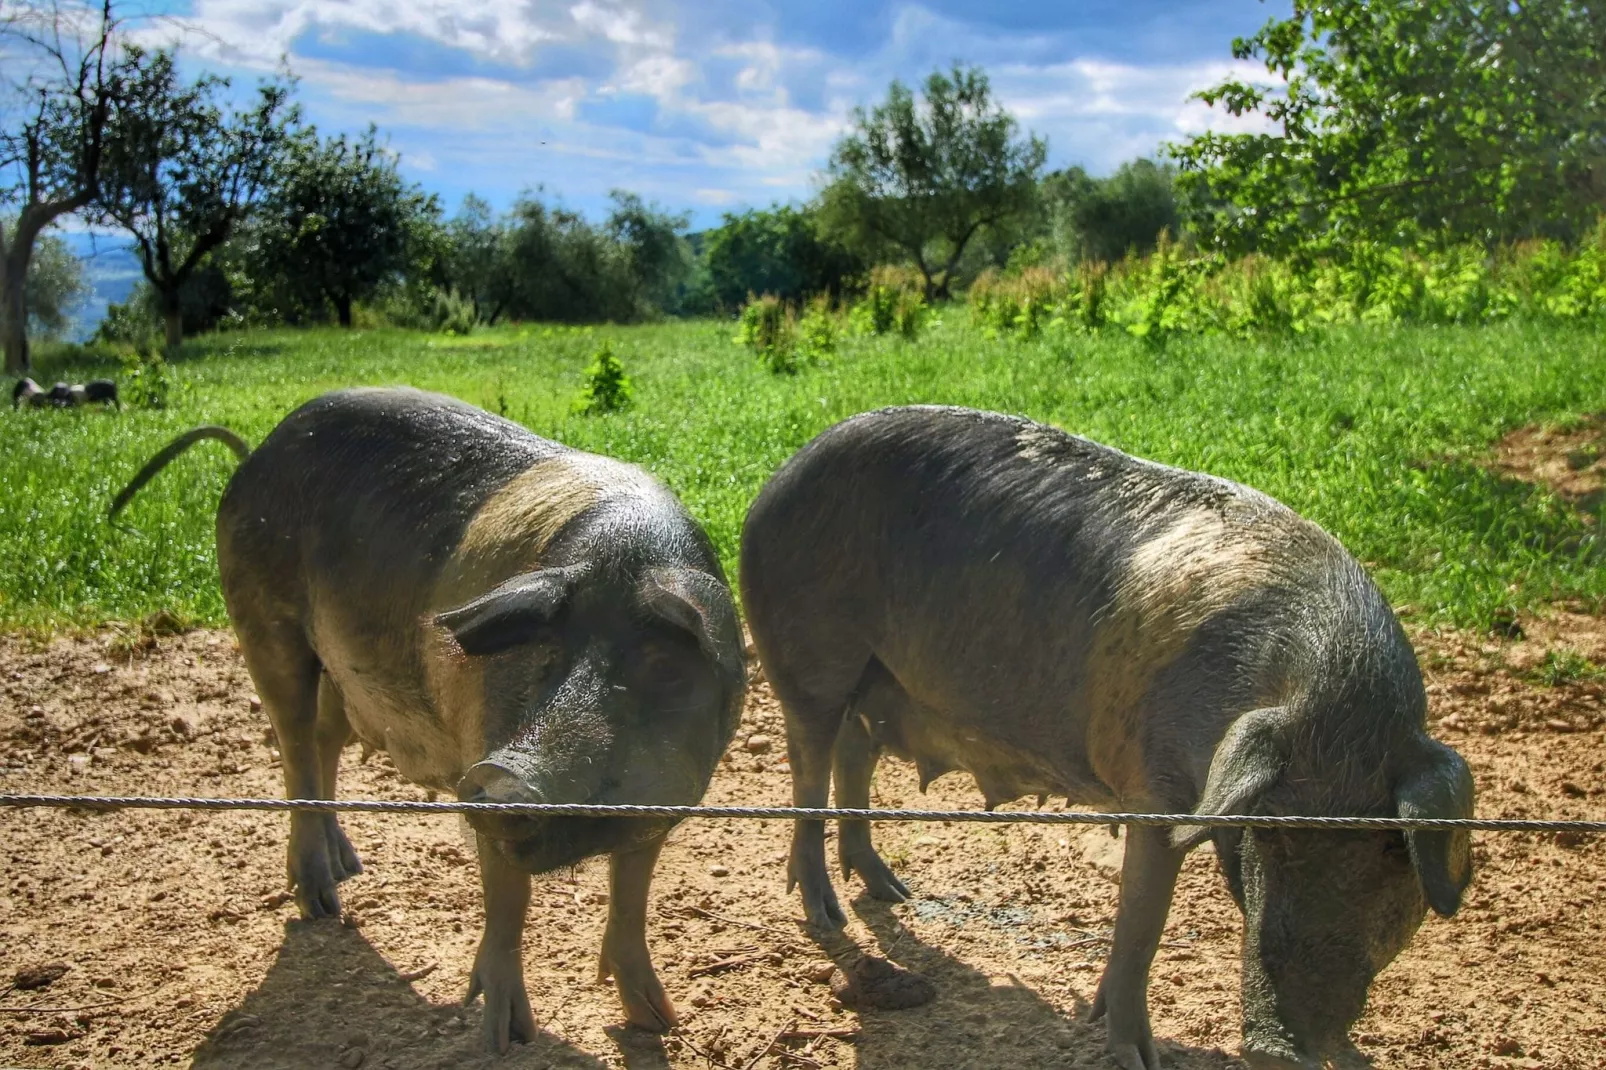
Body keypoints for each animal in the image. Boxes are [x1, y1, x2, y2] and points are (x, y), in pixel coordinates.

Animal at [110, 387, 748, 1047]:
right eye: (542, 656)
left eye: (659, 666)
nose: (500, 779)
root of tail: (256, 452)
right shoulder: (476, 739)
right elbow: (509, 897)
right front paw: (505, 1037)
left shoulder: (667, 803)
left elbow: (631, 895)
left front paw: (659, 1023)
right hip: (265, 624)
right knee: (293, 745)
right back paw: (321, 903)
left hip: (347, 675)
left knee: (323, 741)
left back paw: (348, 867)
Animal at [738, 406, 1471, 1066]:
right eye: (1272, 834)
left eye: (1392, 851)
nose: (1275, 1047)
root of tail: (779, 477)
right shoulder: (1153, 790)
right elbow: (1142, 925)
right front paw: (1135, 1055)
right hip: (806, 659)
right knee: (809, 770)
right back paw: (826, 912)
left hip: (881, 680)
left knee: (855, 752)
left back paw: (894, 890)